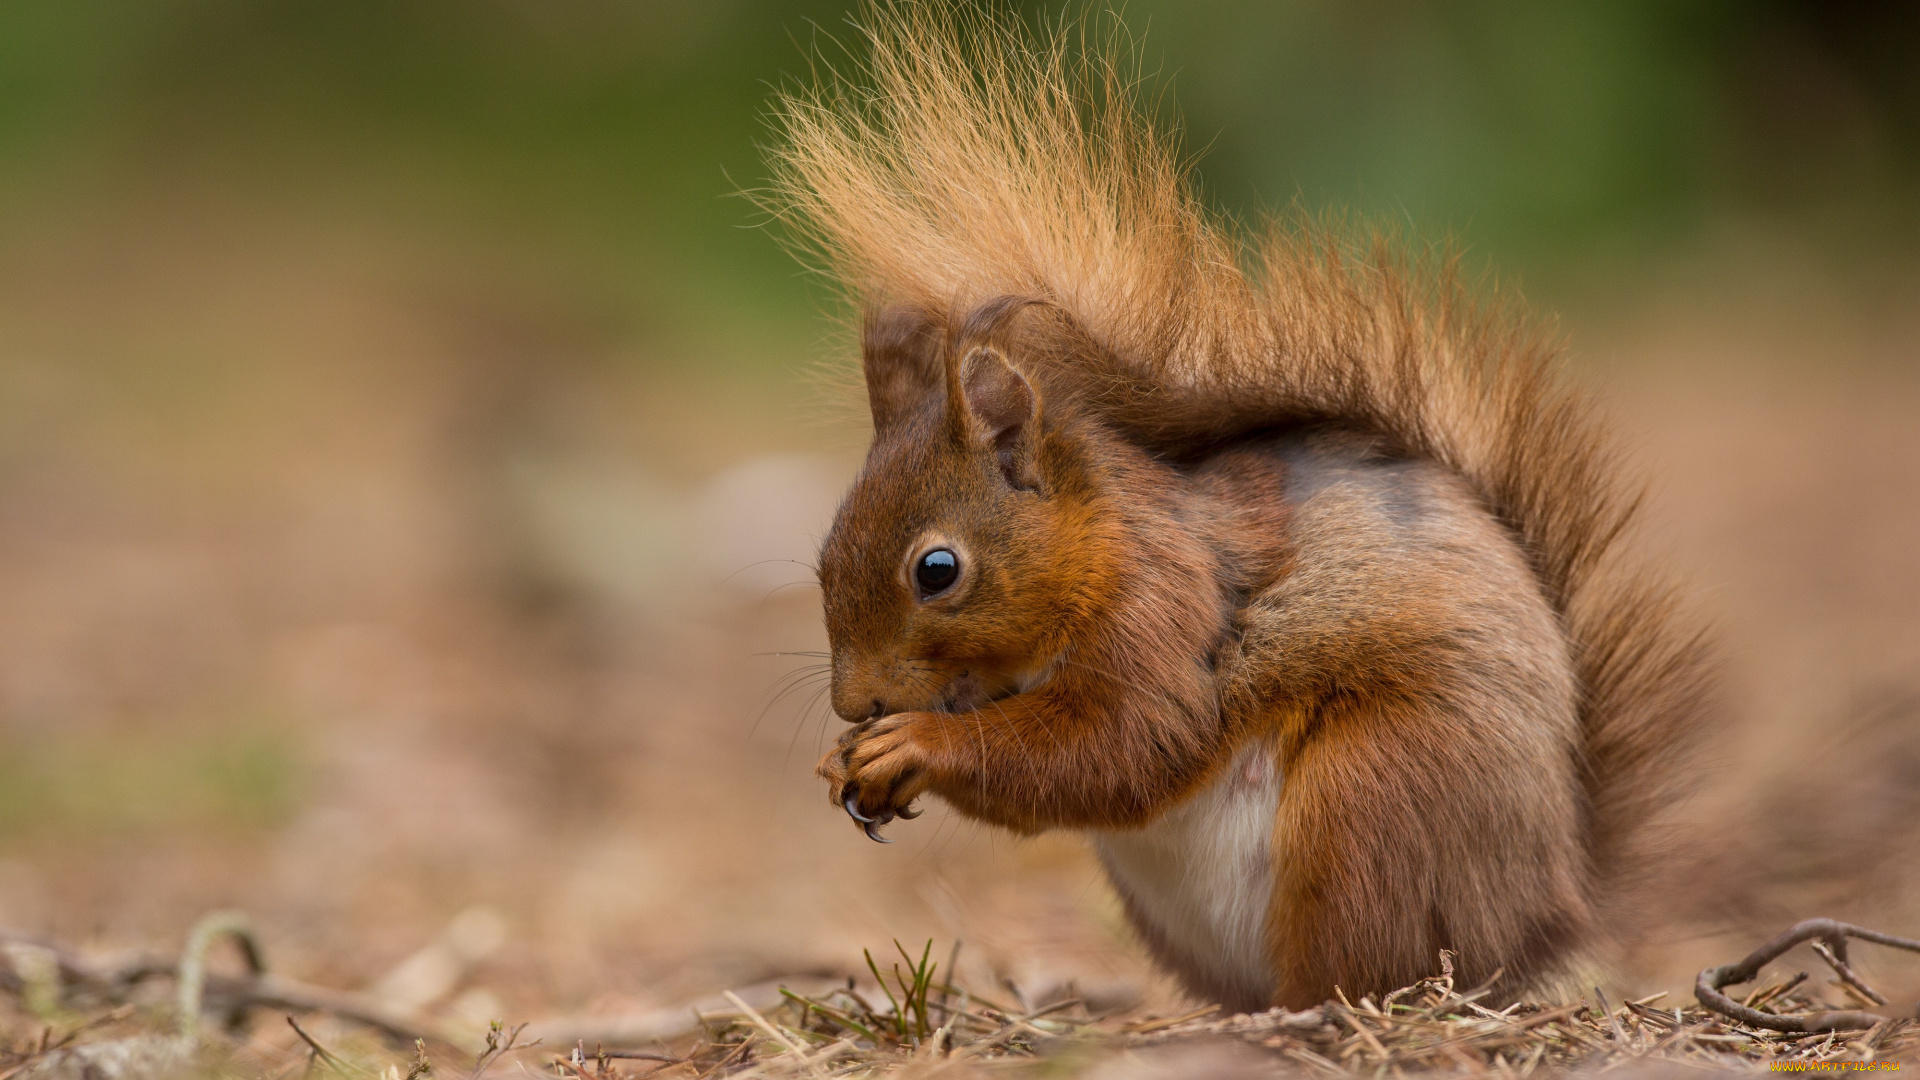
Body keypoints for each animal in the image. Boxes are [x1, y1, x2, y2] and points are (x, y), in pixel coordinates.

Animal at [764, 4, 1712, 1006]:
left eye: (937, 571)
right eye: (824, 556)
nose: (854, 701)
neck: (1102, 545)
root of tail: (1544, 921)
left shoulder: (1165, 612)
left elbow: (1122, 744)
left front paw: (909, 745)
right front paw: (843, 762)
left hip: (1372, 800)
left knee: (1362, 962)